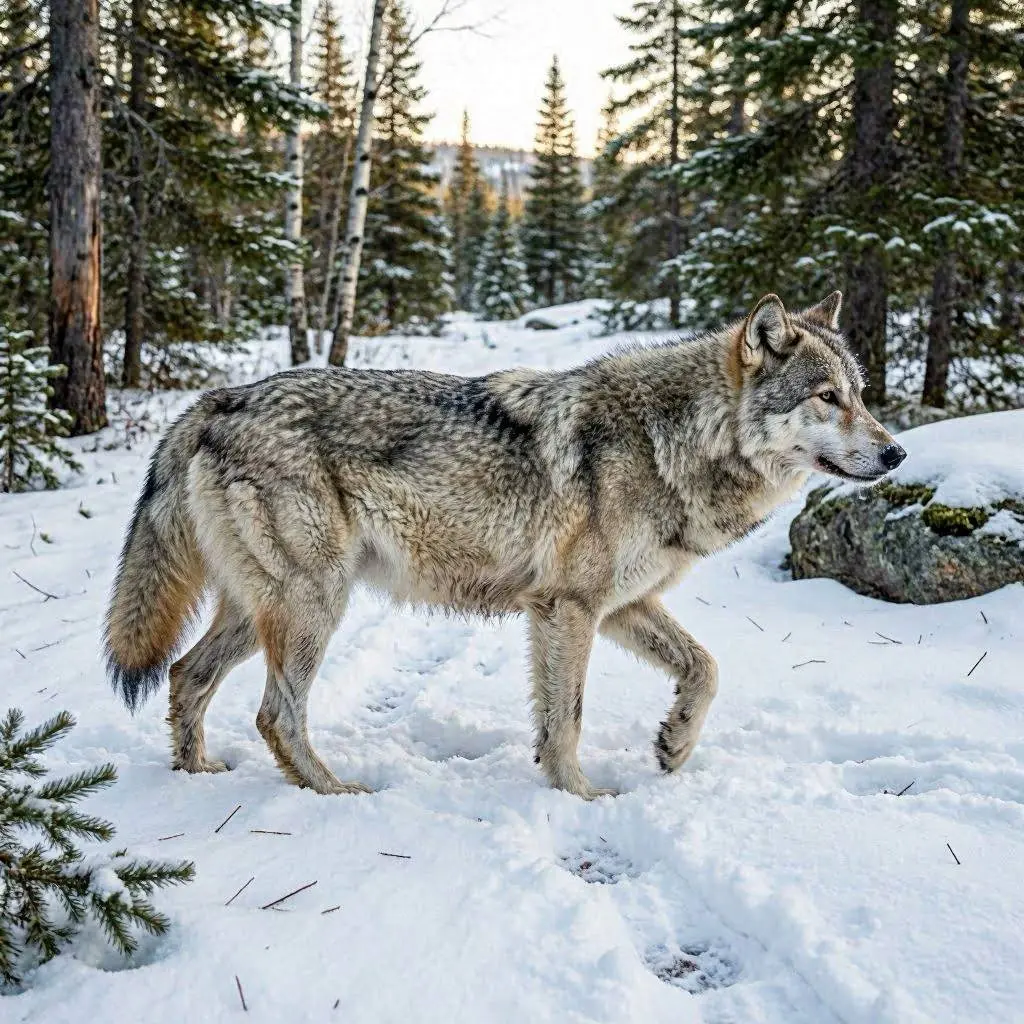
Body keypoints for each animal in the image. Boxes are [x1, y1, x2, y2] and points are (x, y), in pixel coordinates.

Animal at [104, 292, 906, 799]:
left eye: (862, 394)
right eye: (827, 397)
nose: (896, 453)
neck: (673, 444)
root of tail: (216, 402)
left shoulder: (622, 607)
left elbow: (705, 670)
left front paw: (673, 745)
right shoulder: (568, 608)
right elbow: (567, 719)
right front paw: (581, 795)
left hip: (261, 612)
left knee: (185, 676)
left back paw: (197, 773)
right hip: (312, 606)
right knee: (276, 714)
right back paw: (334, 791)